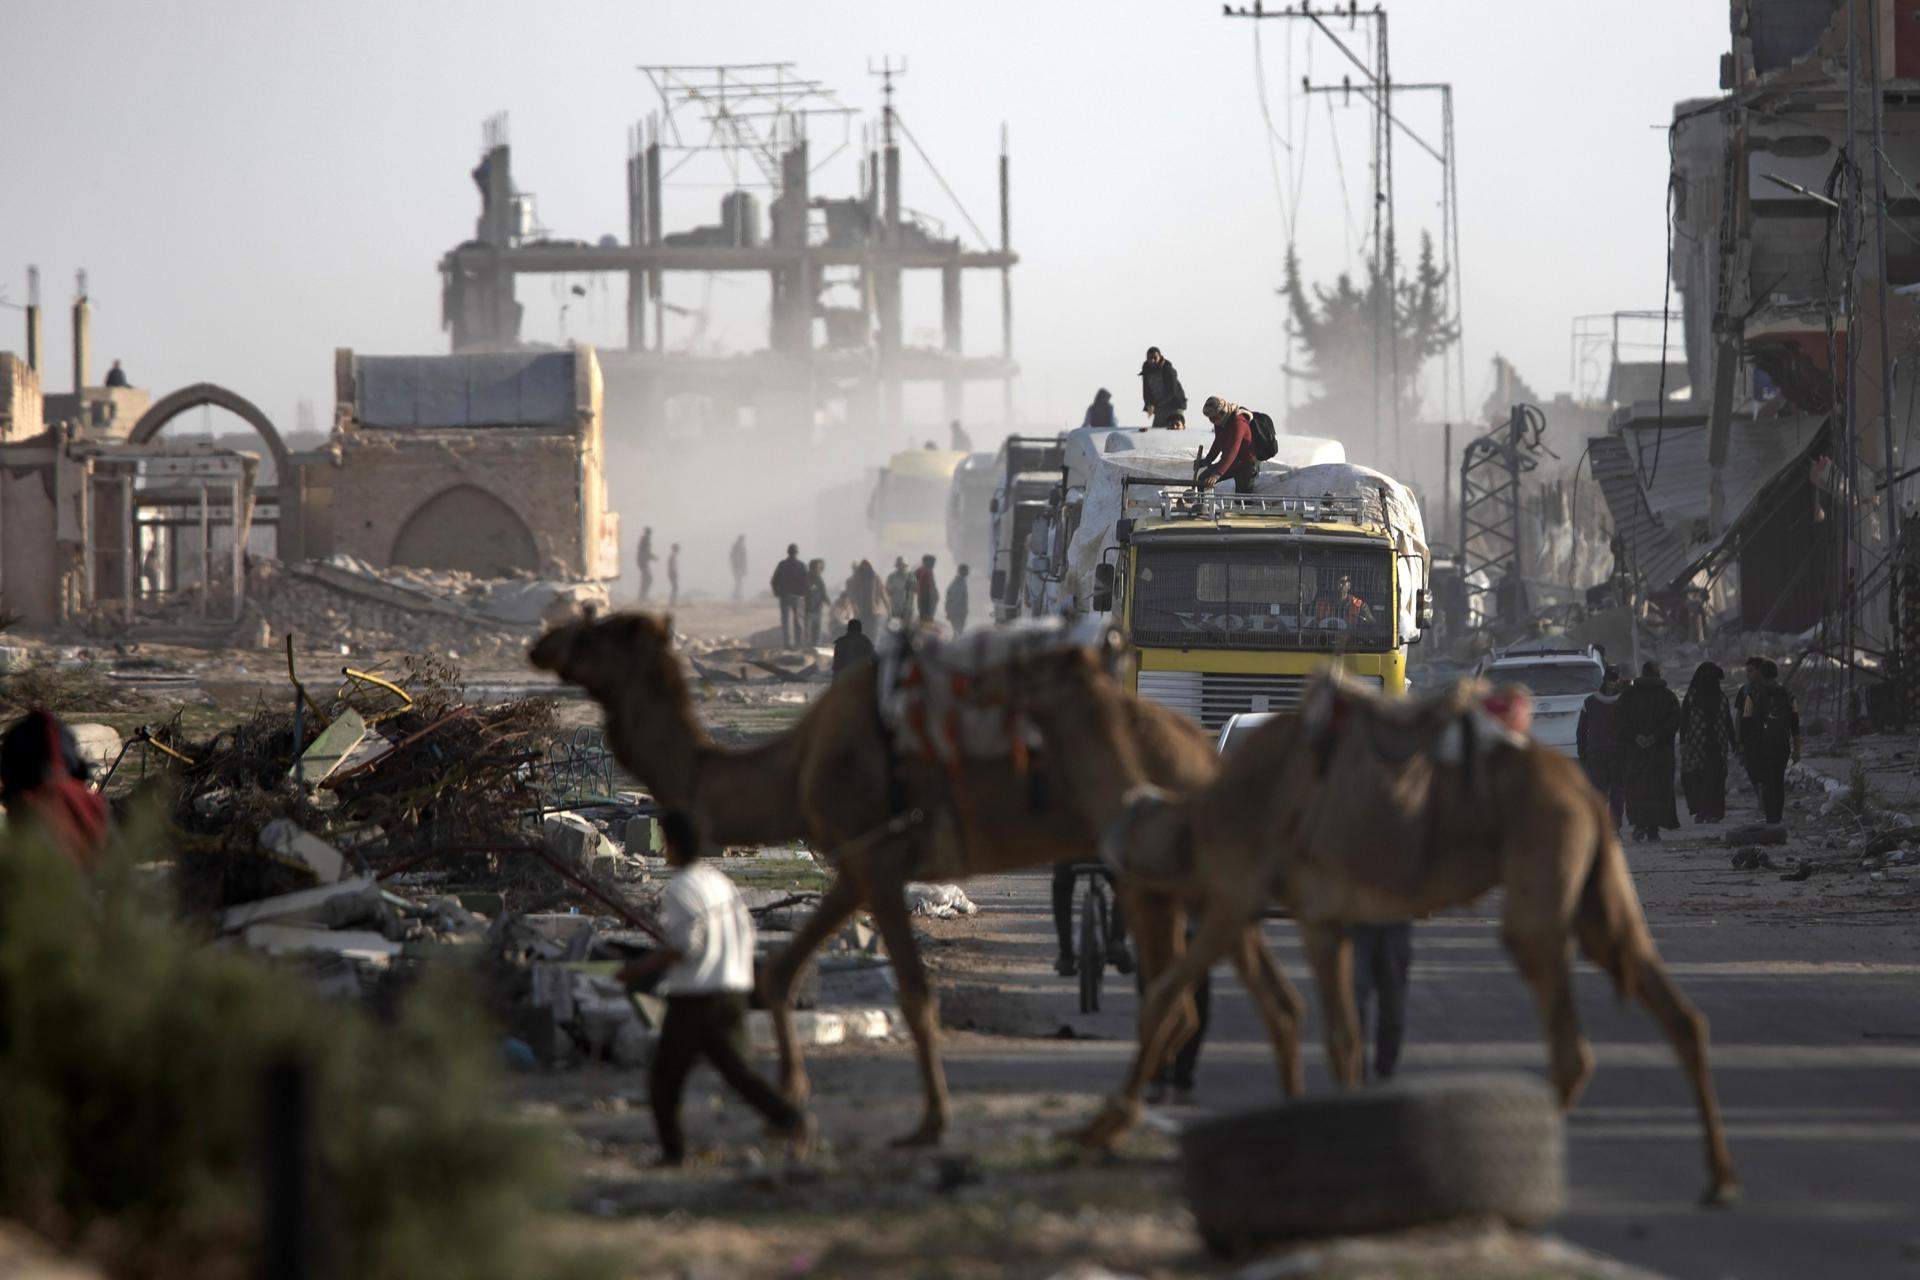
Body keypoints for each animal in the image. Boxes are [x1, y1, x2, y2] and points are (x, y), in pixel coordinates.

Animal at [526, 614, 1313, 1143]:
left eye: (600, 632)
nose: (541, 642)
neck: (794, 764)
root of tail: (1203, 754)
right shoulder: (858, 861)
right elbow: (778, 973)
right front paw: (790, 1105)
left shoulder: (879, 859)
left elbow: (914, 992)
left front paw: (929, 1124)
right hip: (1195, 869)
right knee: (1261, 995)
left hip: (1151, 869)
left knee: (1172, 1001)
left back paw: (1107, 1127)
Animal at [983, 644, 1751, 1205]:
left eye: (1036, 662)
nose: (991, 678)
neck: (1195, 813)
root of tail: (1585, 792)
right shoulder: (1317, 917)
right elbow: (1328, 1033)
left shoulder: (1231, 897)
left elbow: (1172, 1001)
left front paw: (1101, 1127)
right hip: (1596, 891)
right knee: (1678, 1012)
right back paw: (1718, 1178)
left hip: (1542, 867)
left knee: (1570, 1040)